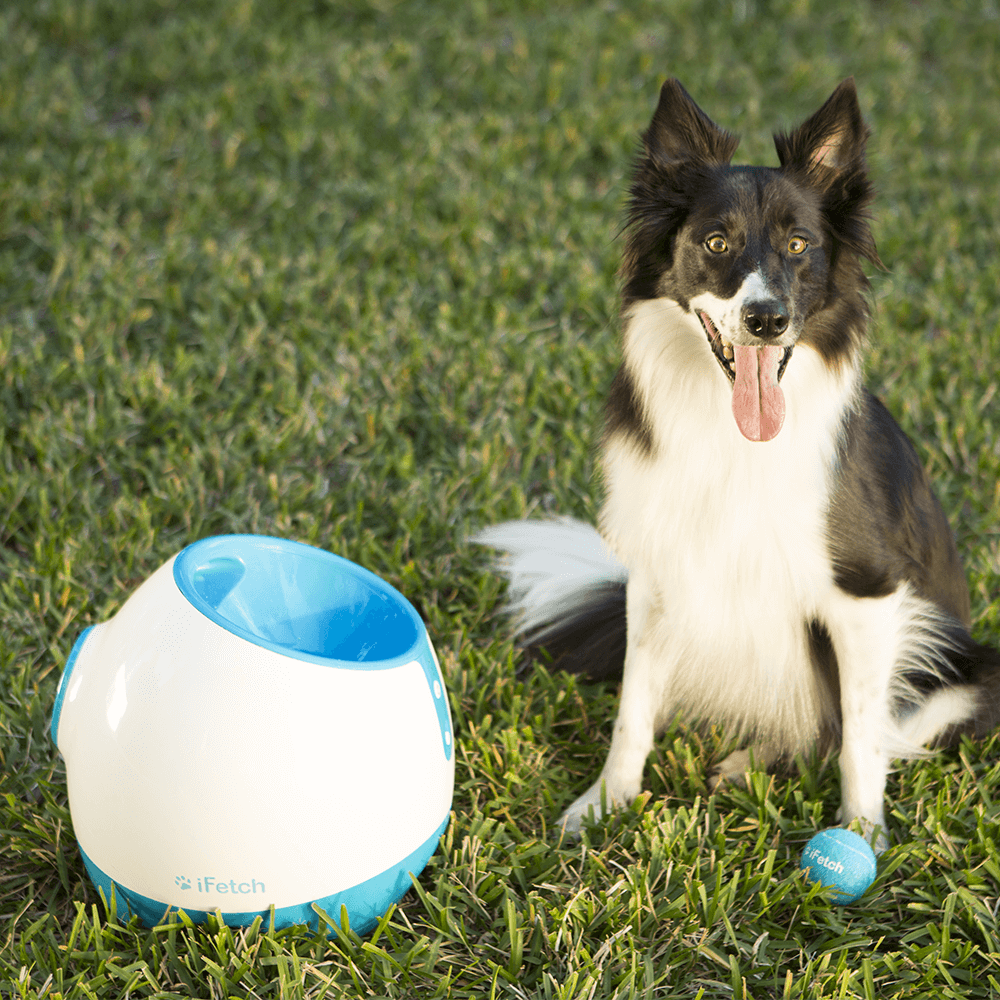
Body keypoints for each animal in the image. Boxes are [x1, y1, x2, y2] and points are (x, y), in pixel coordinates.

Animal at [476, 80, 1000, 852]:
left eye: (798, 245)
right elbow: (633, 708)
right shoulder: (658, 576)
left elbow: (861, 737)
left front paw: (862, 831)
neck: (733, 433)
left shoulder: (867, 594)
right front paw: (604, 803)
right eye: (716, 242)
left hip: (965, 666)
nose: (767, 319)